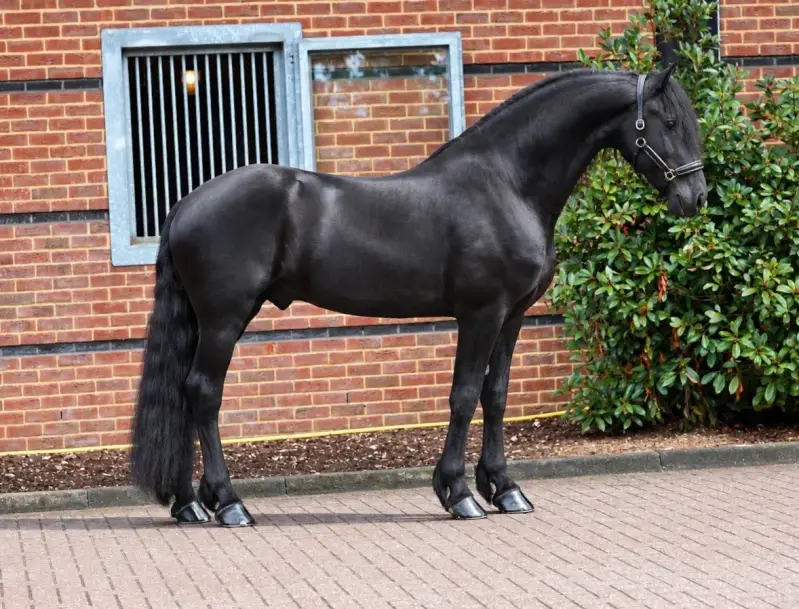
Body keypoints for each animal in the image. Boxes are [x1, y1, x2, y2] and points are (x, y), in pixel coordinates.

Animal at [130, 65, 707, 527]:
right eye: (670, 123)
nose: (695, 197)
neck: (506, 184)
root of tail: (186, 203)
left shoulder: (513, 316)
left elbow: (496, 395)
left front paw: (505, 490)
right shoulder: (481, 313)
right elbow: (464, 396)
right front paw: (459, 494)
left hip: (207, 320)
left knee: (184, 394)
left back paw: (189, 503)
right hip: (224, 318)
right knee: (204, 393)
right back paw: (229, 504)